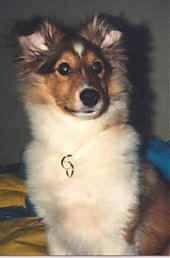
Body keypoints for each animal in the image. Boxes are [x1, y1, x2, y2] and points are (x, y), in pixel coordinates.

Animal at [15, 15, 169, 255]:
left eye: (97, 66)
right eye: (64, 68)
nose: (90, 97)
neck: (76, 141)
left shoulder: (119, 230)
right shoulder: (56, 234)